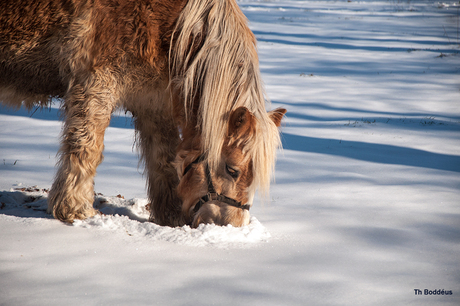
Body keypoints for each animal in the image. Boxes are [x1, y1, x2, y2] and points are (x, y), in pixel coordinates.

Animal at [0, 0, 286, 227]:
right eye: (232, 170)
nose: (232, 225)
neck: (172, 28)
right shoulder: (95, 84)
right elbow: (86, 148)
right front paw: (75, 210)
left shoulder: (154, 101)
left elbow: (163, 159)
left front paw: (171, 216)